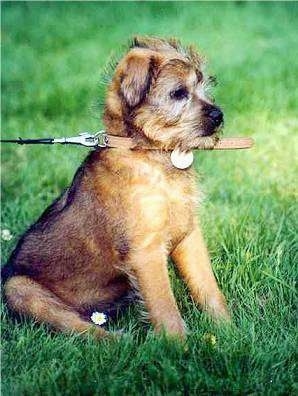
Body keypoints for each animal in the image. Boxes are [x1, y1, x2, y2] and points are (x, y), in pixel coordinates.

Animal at [2, 37, 229, 338]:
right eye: (179, 93)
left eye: (204, 86)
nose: (219, 115)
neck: (149, 155)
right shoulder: (146, 252)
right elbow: (166, 310)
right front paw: (180, 347)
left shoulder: (189, 235)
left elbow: (208, 287)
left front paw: (228, 330)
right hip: (19, 289)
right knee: (85, 331)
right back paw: (124, 341)